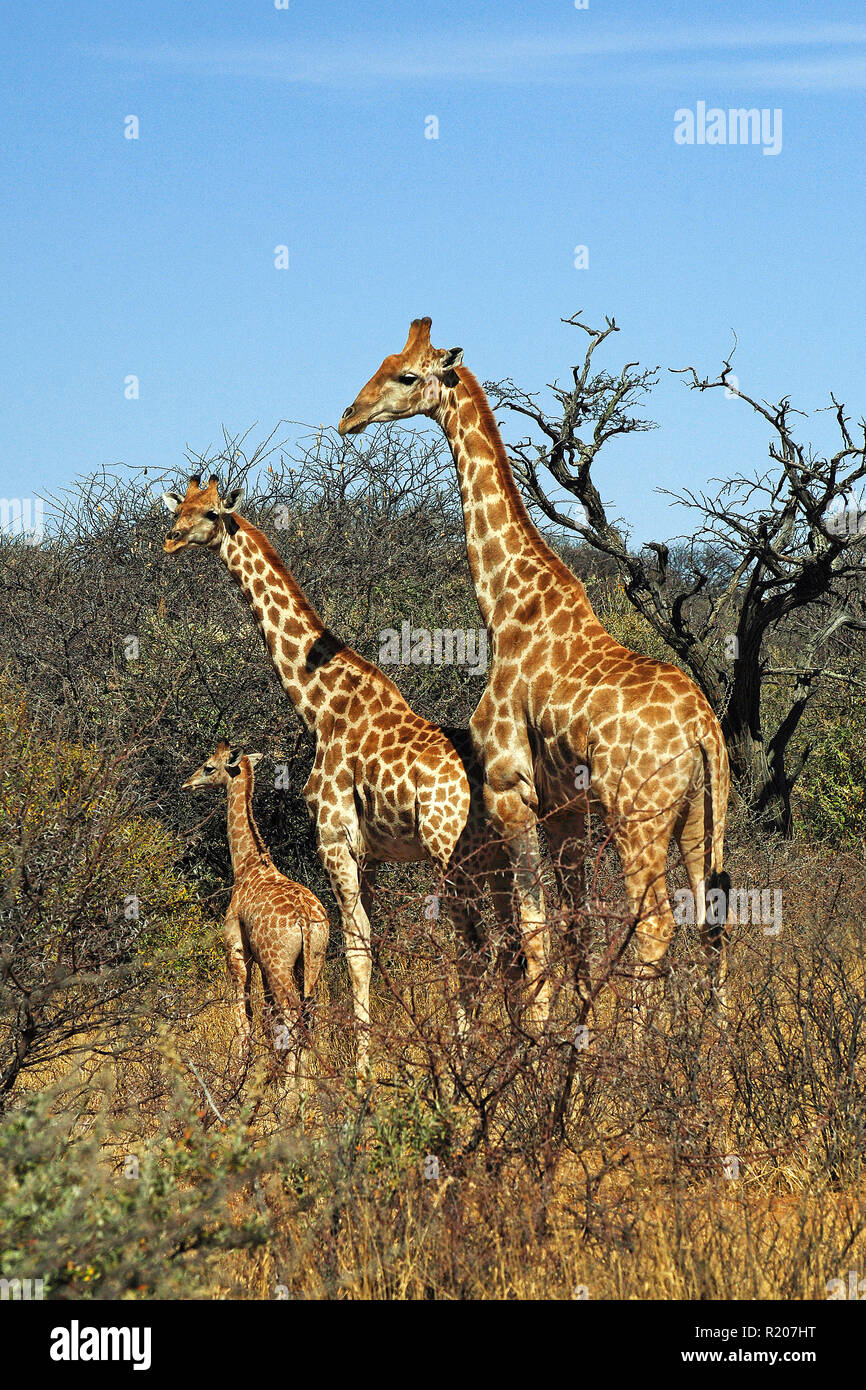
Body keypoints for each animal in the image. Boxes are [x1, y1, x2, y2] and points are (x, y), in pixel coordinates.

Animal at [183, 739, 332, 1073]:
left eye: (208, 767)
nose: (187, 784)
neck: (246, 865)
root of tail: (305, 922)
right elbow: (266, 1021)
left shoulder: (238, 951)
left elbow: (244, 1019)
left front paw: (240, 1073)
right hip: (313, 961)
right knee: (309, 1019)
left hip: (279, 965)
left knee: (291, 1019)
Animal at [339, 319, 733, 1028]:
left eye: (406, 376)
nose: (347, 418)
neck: (504, 608)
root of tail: (705, 731)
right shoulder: (565, 810)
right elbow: (574, 924)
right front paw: (573, 1025)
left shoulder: (509, 789)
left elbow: (531, 926)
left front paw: (544, 1031)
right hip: (700, 815)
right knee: (711, 919)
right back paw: (709, 1040)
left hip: (637, 816)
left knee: (656, 922)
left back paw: (639, 1045)